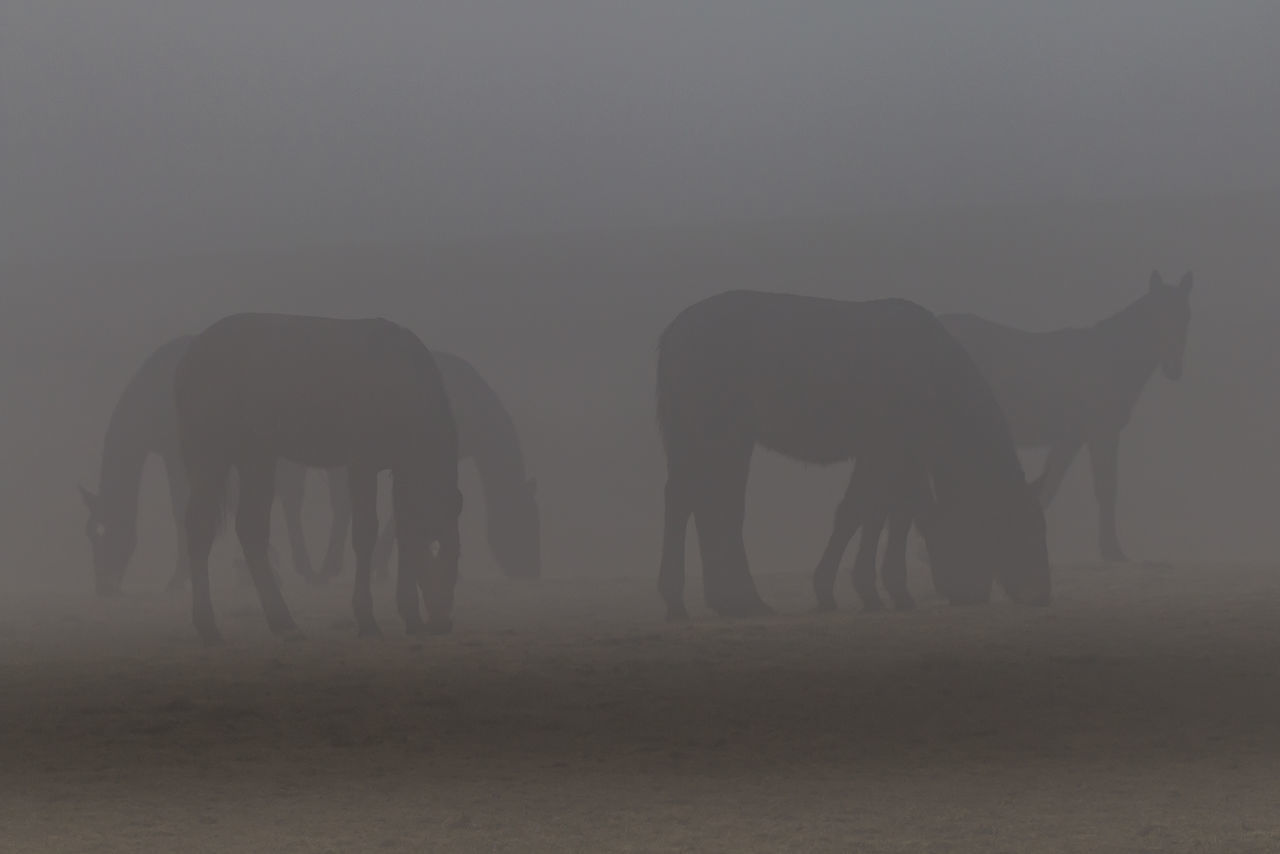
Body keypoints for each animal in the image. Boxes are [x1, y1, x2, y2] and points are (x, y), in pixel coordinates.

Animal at [172, 317, 463, 645]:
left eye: (457, 551)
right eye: (436, 547)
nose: (442, 621)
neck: (402, 383)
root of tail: (189, 359)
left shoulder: (402, 470)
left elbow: (404, 530)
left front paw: (411, 616)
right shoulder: (362, 464)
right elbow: (366, 534)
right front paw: (367, 618)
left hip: (256, 457)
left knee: (251, 529)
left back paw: (282, 621)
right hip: (210, 456)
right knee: (200, 527)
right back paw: (208, 624)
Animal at [660, 289, 1049, 622]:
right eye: (1018, 525)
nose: (1041, 592)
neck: (939, 382)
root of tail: (672, 333)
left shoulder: (900, 455)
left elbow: (889, 514)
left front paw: (888, 590)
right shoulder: (887, 449)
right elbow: (859, 511)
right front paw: (846, 590)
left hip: (715, 440)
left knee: (705, 506)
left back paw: (724, 601)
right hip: (713, 435)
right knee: (699, 506)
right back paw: (700, 601)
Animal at [942, 267, 1187, 560]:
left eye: (1186, 317)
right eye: (1156, 316)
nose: (1174, 367)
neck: (1110, 358)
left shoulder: (1071, 439)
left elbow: (1050, 485)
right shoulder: (1102, 433)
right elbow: (1106, 487)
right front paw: (1112, 550)